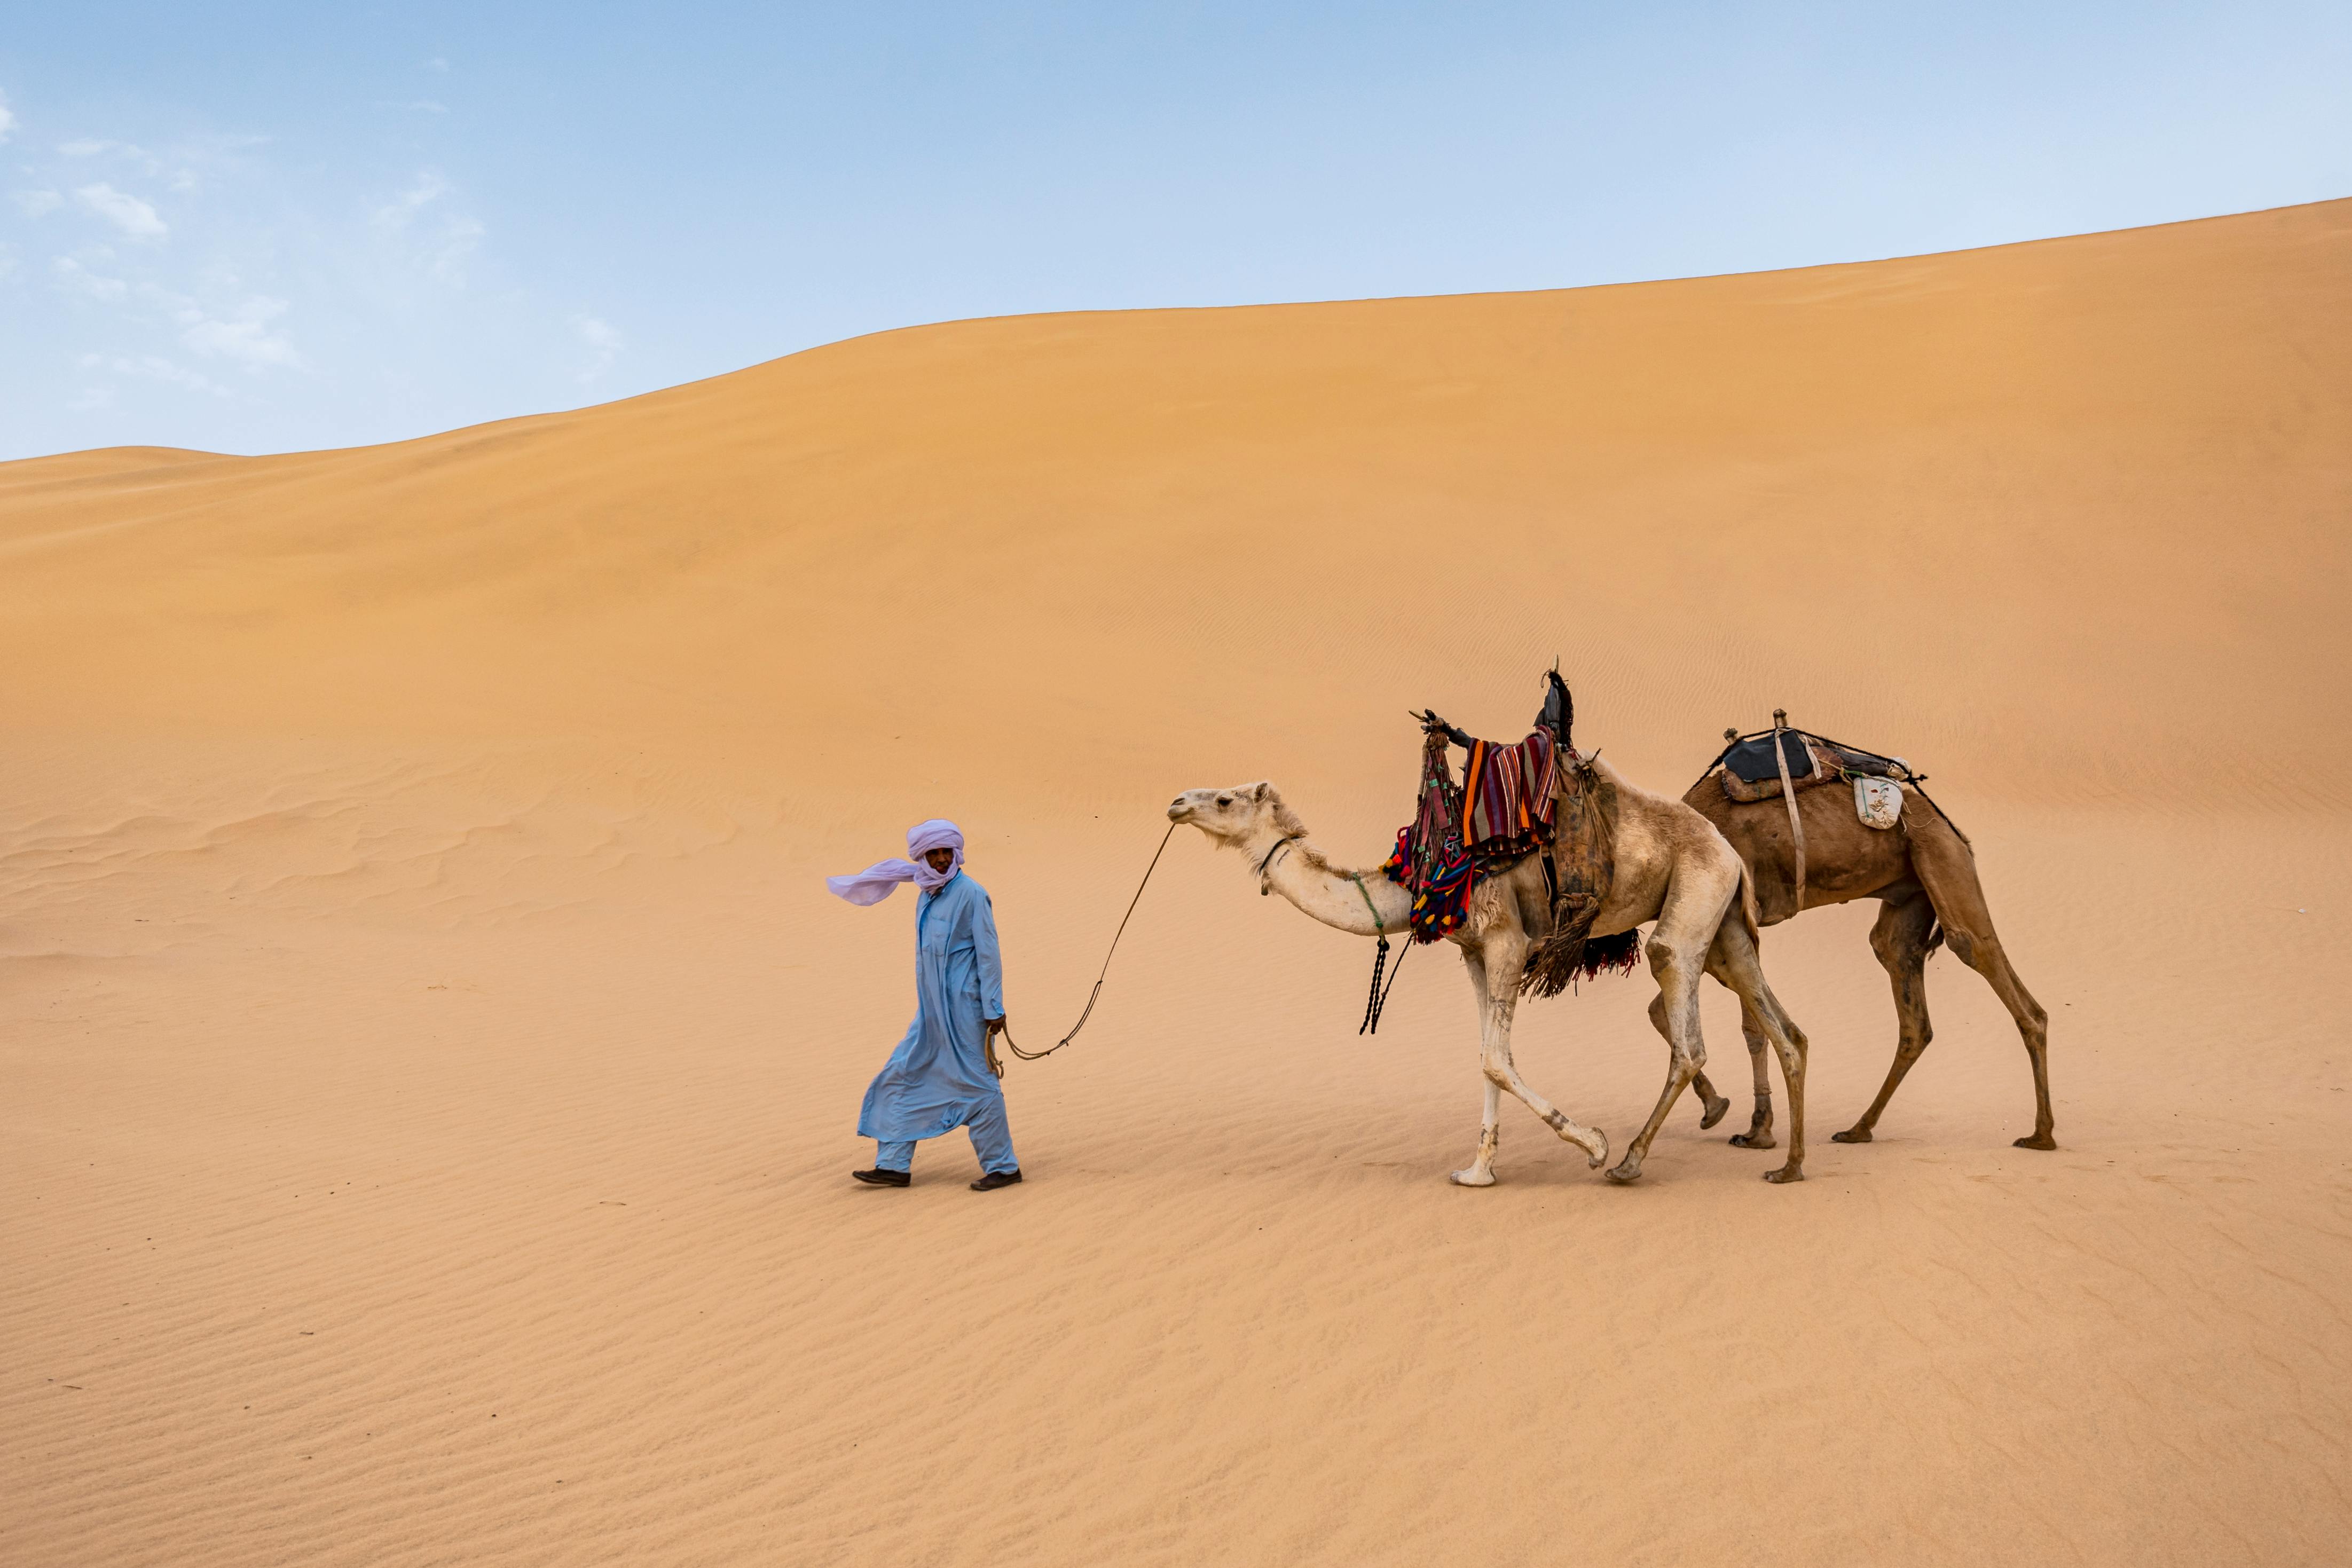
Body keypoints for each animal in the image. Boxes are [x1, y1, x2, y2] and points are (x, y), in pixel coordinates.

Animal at [1168, 759, 1817, 1185]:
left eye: (1224, 800)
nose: (1176, 803)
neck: (1423, 873)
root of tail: (1728, 849)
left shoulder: (1507, 939)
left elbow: (1494, 1059)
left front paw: (1591, 1143)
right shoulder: (1474, 952)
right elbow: (1485, 1058)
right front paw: (1477, 1169)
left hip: (1692, 899)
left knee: (1685, 1027)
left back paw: (1629, 1160)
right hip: (1725, 924)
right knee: (1785, 1029)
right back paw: (1788, 1164)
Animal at [1681, 737, 2054, 1154]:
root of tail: (1953, 829)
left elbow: (1747, 1025)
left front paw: (1754, 1129)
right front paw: (1745, 1123)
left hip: (1943, 858)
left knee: (1982, 957)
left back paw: (2041, 1135)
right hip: (1911, 894)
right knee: (1906, 992)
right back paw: (1858, 1128)